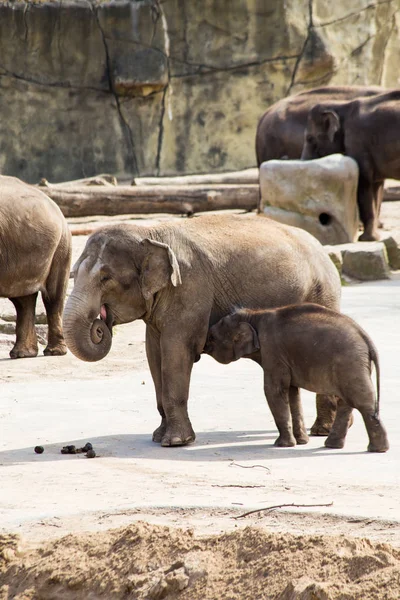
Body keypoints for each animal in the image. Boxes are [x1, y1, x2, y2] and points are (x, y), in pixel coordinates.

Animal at [62, 214, 340, 446]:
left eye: (105, 278)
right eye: (73, 274)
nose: (100, 326)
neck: (149, 232)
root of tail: (322, 249)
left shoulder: (188, 289)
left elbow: (176, 351)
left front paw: (176, 442)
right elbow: (154, 354)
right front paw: (158, 437)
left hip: (322, 293)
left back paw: (321, 431)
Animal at [203, 302, 388, 452]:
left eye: (212, 337)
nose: (202, 348)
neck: (254, 315)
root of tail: (367, 339)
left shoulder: (272, 352)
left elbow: (274, 391)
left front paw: (283, 445)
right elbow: (292, 393)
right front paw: (301, 442)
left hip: (350, 363)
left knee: (362, 402)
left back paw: (377, 449)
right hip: (354, 366)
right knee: (347, 402)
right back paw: (333, 446)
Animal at [300, 90, 400, 240]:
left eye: (310, 138)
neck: (342, 106)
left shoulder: (357, 140)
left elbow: (364, 183)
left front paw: (367, 239)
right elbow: (377, 187)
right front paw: (374, 237)